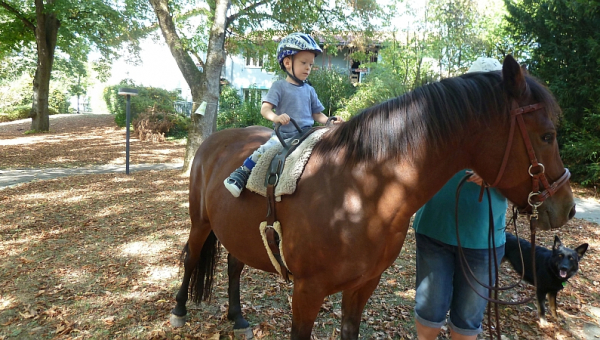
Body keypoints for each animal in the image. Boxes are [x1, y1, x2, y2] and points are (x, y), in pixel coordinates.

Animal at [170, 56, 576, 340]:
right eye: (547, 135)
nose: (567, 208)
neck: (361, 190)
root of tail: (213, 141)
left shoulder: (364, 285)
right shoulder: (307, 291)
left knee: (234, 266)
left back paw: (237, 317)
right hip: (200, 222)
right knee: (190, 257)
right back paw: (178, 311)